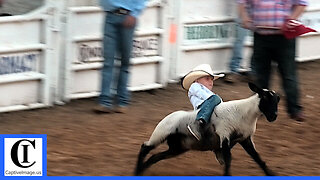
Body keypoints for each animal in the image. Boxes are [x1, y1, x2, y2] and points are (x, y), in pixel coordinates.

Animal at [135, 83, 280, 176]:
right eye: (265, 97)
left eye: (277, 99)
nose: (274, 116)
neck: (245, 113)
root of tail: (167, 116)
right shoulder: (224, 135)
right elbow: (228, 161)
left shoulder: (245, 138)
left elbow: (258, 158)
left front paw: (271, 174)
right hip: (161, 133)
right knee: (145, 147)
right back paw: (137, 171)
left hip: (177, 147)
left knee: (155, 157)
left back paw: (142, 170)